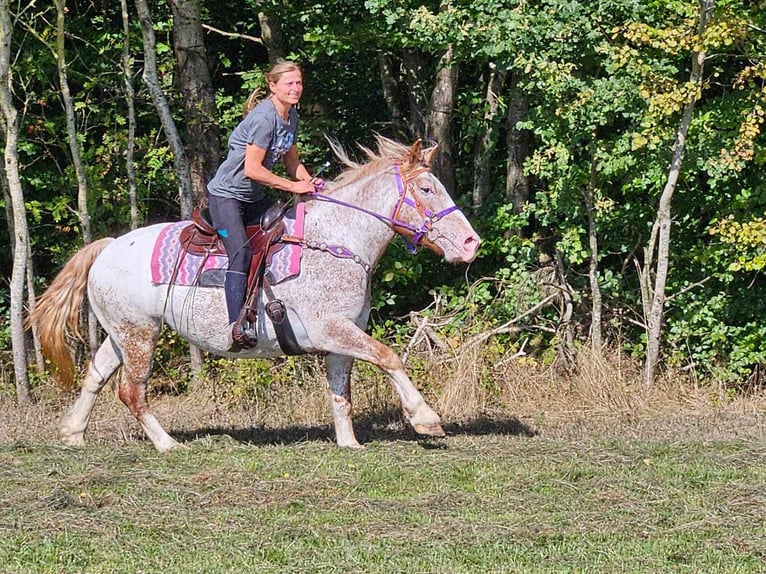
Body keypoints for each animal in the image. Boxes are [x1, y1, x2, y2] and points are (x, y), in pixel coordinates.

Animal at [34, 137, 486, 452]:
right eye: (426, 189)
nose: (471, 243)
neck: (337, 242)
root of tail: (107, 247)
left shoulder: (342, 336)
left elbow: (341, 392)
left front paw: (349, 442)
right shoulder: (330, 330)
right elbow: (389, 357)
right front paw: (425, 418)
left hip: (122, 333)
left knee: (95, 375)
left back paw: (73, 434)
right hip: (139, 334)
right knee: (131, 391)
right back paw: (167, 443)